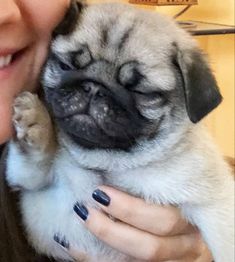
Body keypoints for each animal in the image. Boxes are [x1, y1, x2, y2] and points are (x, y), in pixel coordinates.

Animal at [6, 1, 234, 260]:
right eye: (66, 66)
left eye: (142, 93)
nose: (94, 88)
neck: (109, 164)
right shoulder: (31, 180)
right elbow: (35, 160)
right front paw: (35, 119)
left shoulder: (215, 203)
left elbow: (226, 242)